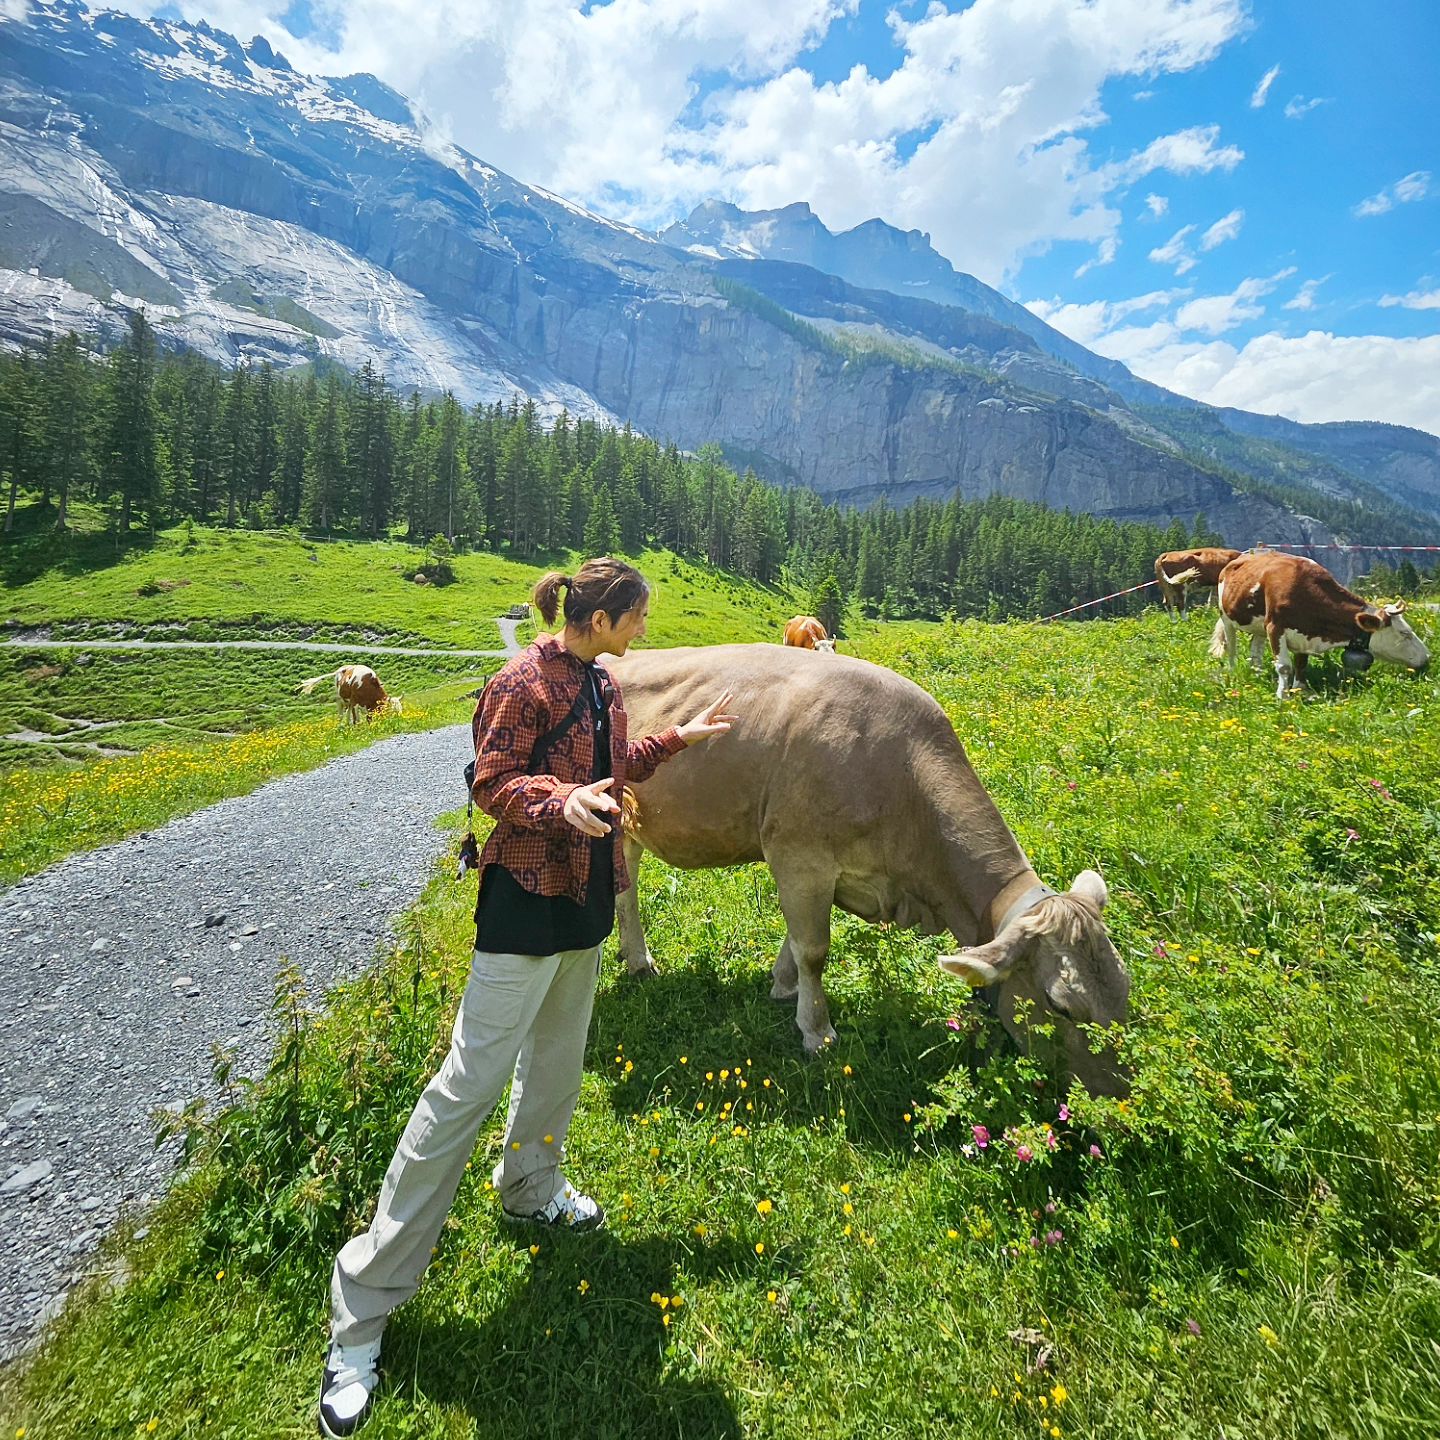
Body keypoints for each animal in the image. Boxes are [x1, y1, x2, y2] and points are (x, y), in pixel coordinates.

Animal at [607, 648, 1123, 1094]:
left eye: (1125, 991)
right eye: (1061, 1006)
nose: (1118, 1096)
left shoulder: (817, 869)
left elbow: (795, 940)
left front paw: (783, 984)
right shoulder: (801, 855)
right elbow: (814, 950)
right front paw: (817, 1032)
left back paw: (636, 958)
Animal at [1203, 550, 1428, 696]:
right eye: (1405, 633)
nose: (1427, 658)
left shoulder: (1302, 633)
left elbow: (1301, 664)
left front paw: (1301, 690)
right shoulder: (1275, 627)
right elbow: (1284, 667)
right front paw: (1283, 696)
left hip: (1258, 626)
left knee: (1255, 649)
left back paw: (1256, 672)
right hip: (1226, 617)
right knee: (1232, 647)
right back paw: (1233, 671)